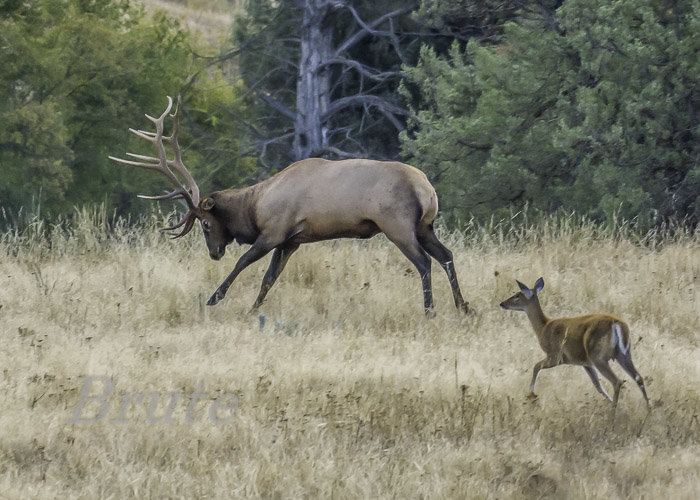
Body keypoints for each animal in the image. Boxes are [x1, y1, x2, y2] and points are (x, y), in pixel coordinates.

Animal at [109, 97, 470, 314]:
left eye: (206, 224)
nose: (214, 253)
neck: (254, 206)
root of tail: (428, 190)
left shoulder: (274, 231)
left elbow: (243, 262)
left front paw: (213, 299)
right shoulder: (291, 240)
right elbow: (270, 278)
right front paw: (253, 309)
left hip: (398, 225)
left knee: (424, 262)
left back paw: (430, 310)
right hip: (425, 226)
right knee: (447, 255)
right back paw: (464, 306)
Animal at [500, 278, 648, 410]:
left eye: (517, 295)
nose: (502, 303)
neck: (543, 327)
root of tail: (617, 324)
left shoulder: (555, 356)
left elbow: (535, 366)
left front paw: (531, 394)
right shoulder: (585, 363)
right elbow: (597, 385)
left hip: (598, 356)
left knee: (617, 381)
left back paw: (613, 414)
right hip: (623, 354)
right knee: (638, 377)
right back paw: (648, 410)